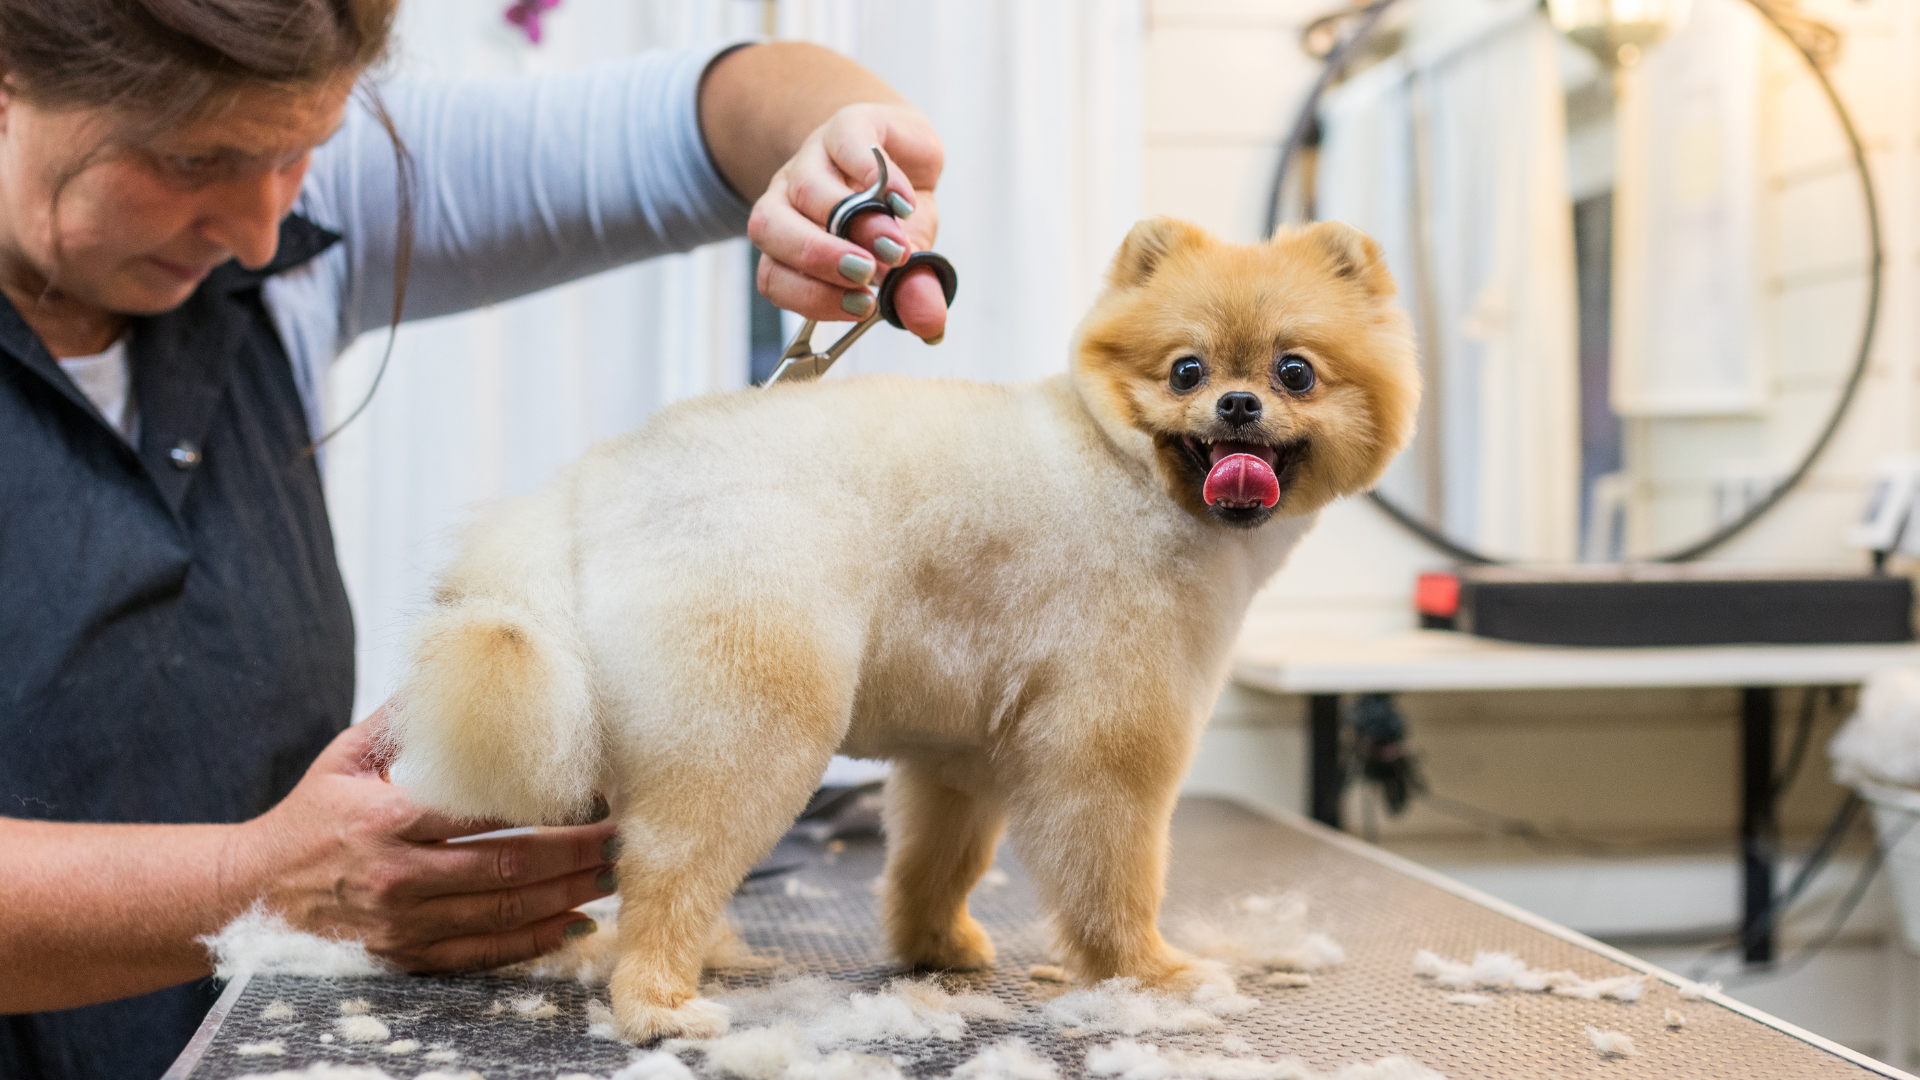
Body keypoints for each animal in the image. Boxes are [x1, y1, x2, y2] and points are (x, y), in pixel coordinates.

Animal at [382, 216, 1420, 1037]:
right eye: (1187, 370)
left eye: (1296, 372)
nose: (1238, 403)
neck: (1130, 469)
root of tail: (591, 489)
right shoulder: (1106, 741)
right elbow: (1113, 874)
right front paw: (1149, 973)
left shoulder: (963, 750)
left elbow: (938, 861)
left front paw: (937, 946)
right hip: (750, 718)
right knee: (668, 870)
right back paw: (659, 1004)